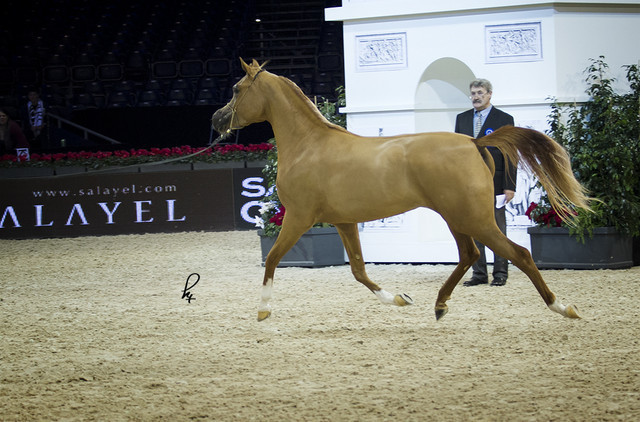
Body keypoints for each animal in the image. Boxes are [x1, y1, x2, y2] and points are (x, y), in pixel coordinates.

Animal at [212, 58, 590, 322]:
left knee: (519, 254)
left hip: (475, 218)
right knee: (469, 255)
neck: (309, 145)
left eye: (236, 88)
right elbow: (359, 270)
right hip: (458, 218)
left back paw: (563, 308)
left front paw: (263, 310)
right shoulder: (344, 221)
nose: (216, 120)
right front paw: (399, 299)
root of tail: (474, 141)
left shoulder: (299, 217)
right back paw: (439, 305)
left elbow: (273, 257)